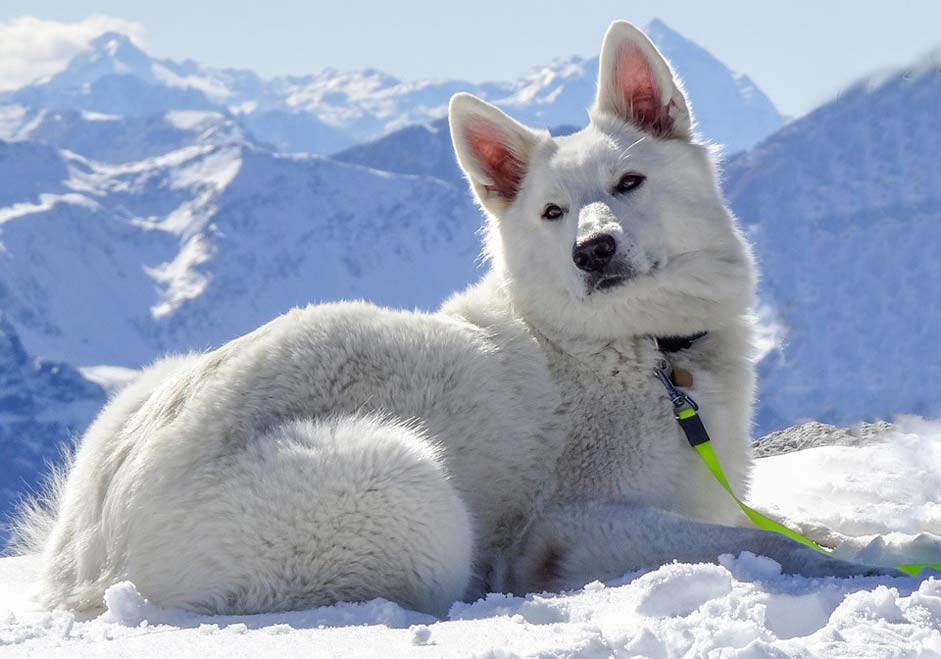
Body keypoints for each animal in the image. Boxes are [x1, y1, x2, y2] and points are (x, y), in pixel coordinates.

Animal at [12, 20, 880, 620]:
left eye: (628, 182)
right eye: (552, 211)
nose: (592, 250)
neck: (639, 346)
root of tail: (89, 560)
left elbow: (789, 524)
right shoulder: (568, 527)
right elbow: (756, 538)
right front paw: (866, 560)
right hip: (408, 483)